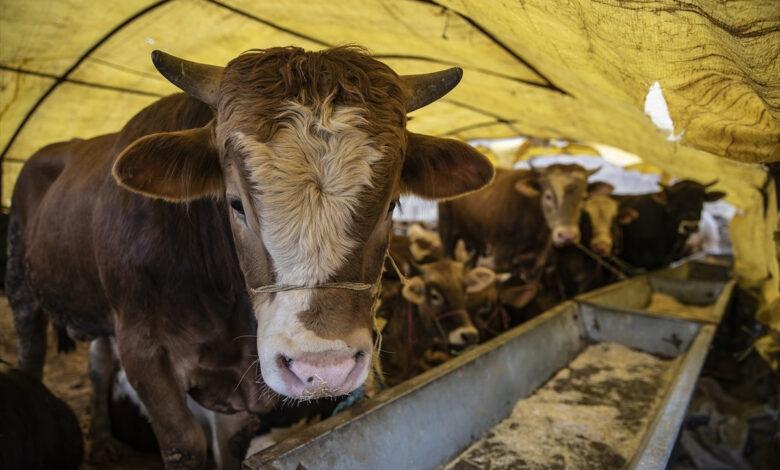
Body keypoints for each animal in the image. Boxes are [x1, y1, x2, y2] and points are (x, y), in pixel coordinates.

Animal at [6, 46, 494, 468]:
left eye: (392, 204)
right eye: (235, 203)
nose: (323, 367)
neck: (220, 306)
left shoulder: (242, 382)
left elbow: (230, 445)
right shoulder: (144, 350)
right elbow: (186, 443)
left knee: (99, 359)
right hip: (23, 292)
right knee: (36, 352)